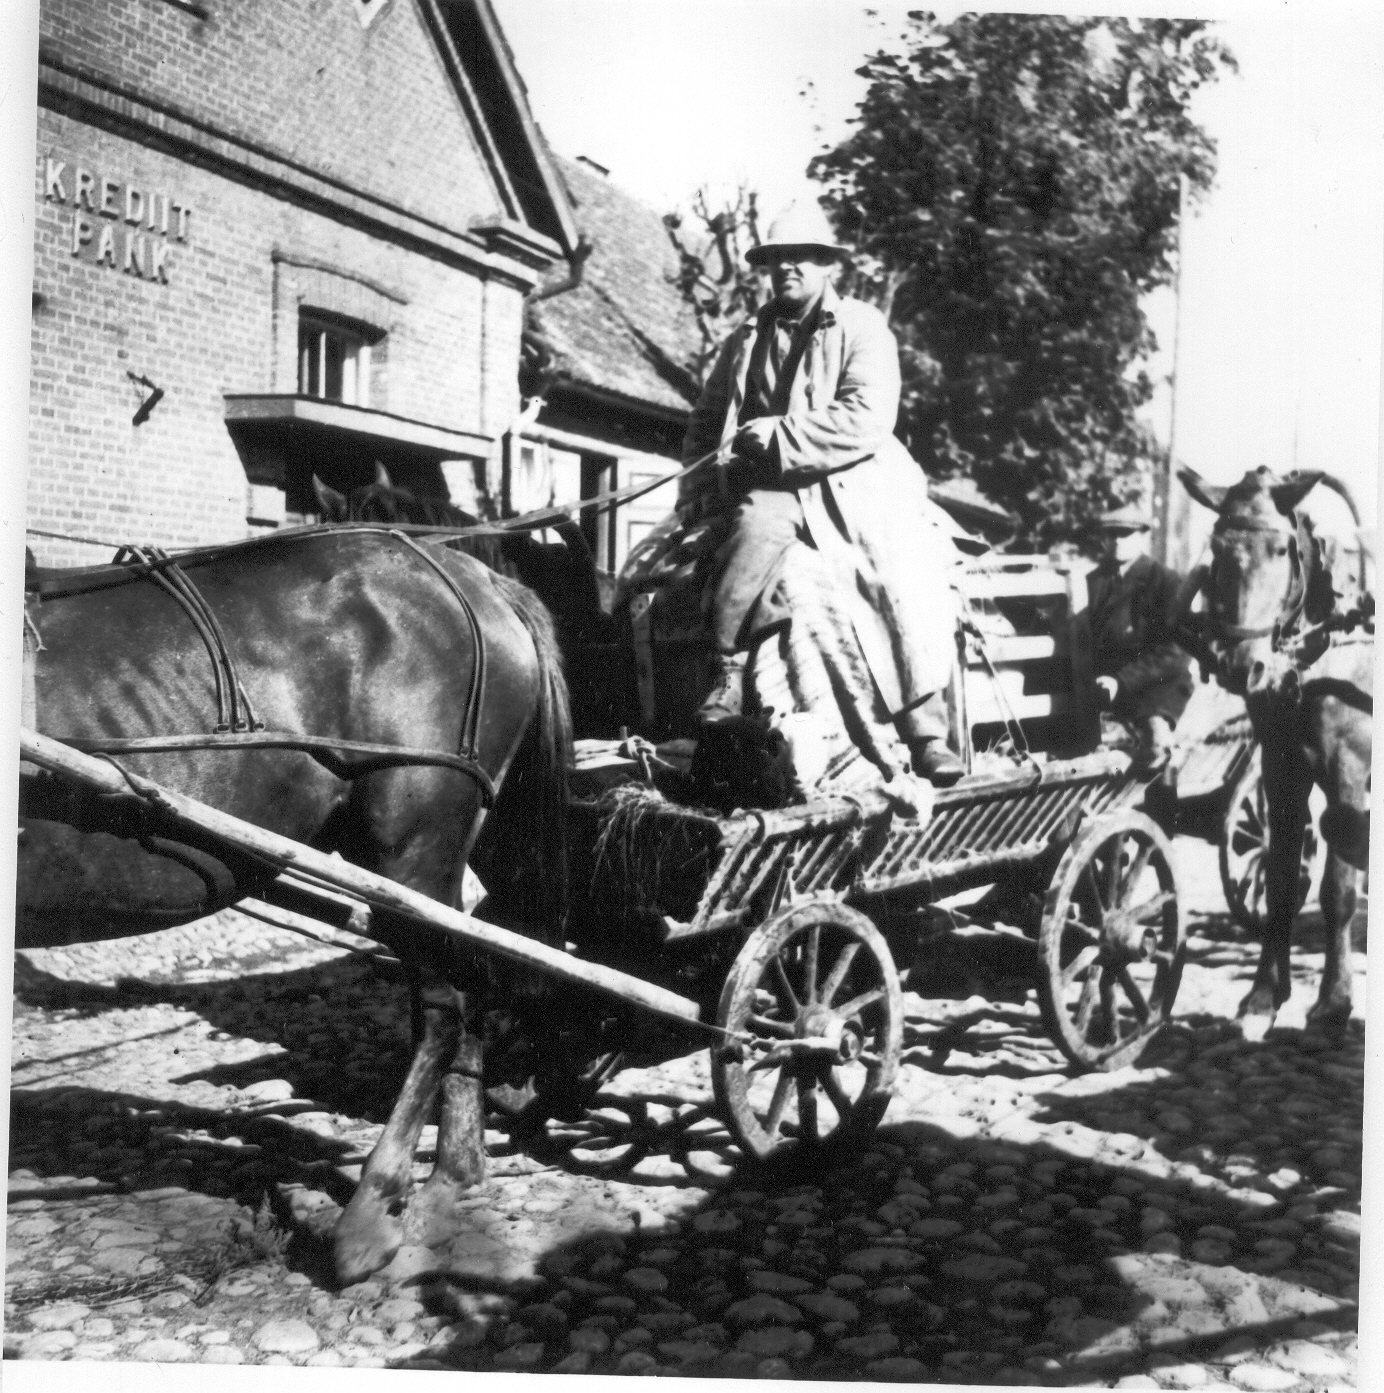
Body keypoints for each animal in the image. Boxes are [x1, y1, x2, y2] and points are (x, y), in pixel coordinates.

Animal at [17, 523, 565, 1281]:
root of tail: (475, 576)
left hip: (411, 846)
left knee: (443, 1008)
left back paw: (370, 1212)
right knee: (473, 982)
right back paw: (450, 1179)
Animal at [1175, 462, 1370, 1041]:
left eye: (1282, 549)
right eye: (1217, 549)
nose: (1244, 667)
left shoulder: (1350, 778)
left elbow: (1337, 891)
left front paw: (1332, 1004)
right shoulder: (1281, 773)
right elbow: (1281, 879)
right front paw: (1263, 997)